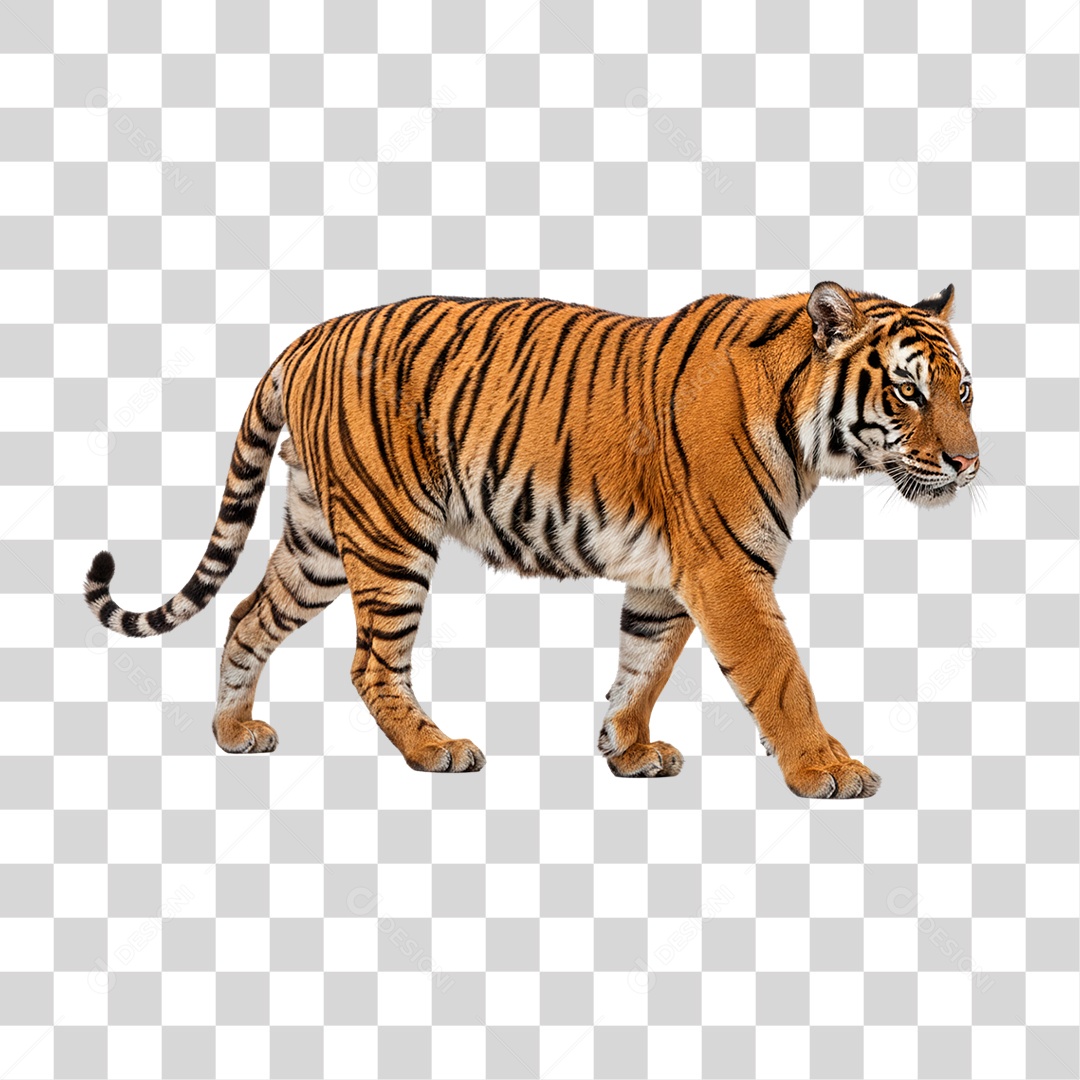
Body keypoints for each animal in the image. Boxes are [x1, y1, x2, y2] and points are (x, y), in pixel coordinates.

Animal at [84, 281, 979, 799]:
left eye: (963, 391)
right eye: (908, 392)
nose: (970, 464)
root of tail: (307, 338)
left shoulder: (669, 577)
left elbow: (644, 664)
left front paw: (626, 749)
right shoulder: (728, 569)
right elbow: (781, 677)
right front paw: (828, 770)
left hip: (319, 542)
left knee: (246, 618)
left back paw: (234, 733)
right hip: (389, 534)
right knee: (371, 663)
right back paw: (434, 750)